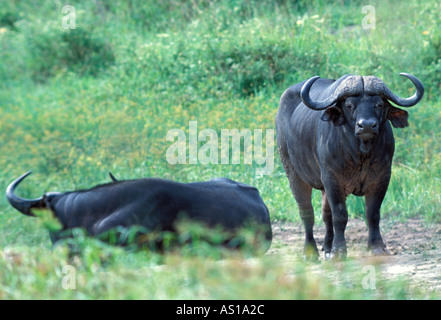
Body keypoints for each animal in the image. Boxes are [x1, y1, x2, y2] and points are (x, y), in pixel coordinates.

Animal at [276, 73, 422, 260]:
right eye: (349, 105)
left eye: (379, 104)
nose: (366, 125)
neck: (361, 154)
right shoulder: (332, 179)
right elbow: (340, 215)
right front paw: (339, 251)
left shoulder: (382, 178)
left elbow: (372, 213)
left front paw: (376, 246)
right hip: (293, 173)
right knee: (307, 213)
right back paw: (310, 252)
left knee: (326, 214)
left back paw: (327, 248)